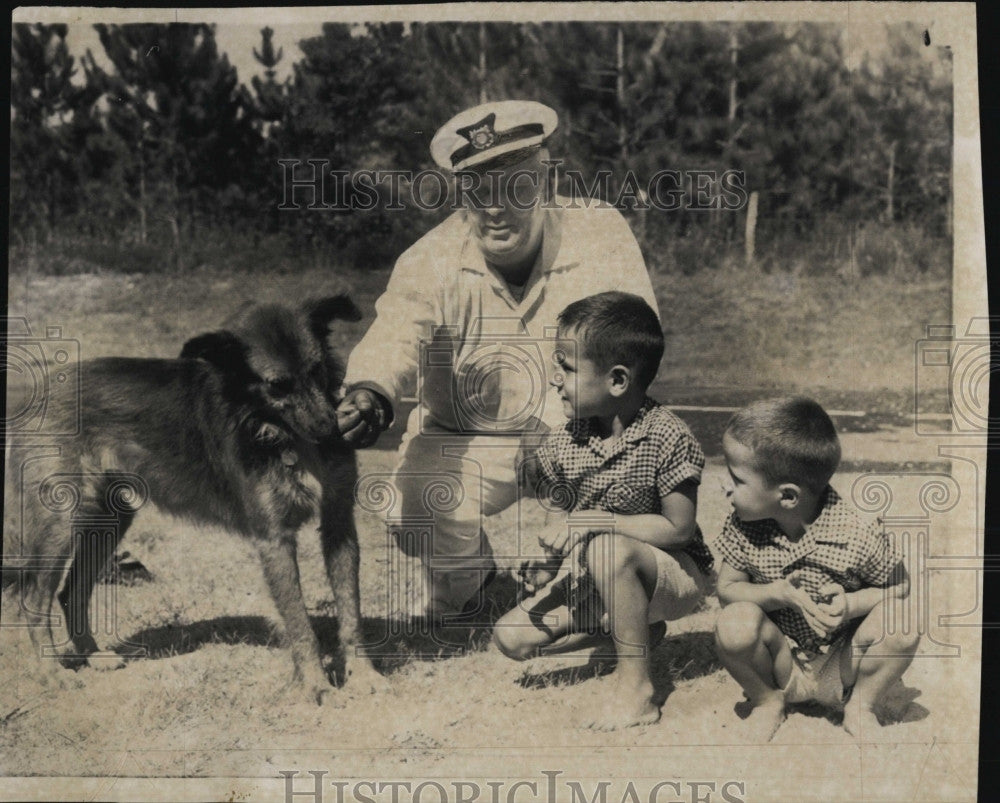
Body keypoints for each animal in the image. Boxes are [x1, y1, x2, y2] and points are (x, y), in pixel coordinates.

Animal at [2, 296, 382, 704]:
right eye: (277, 386)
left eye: (317, 370)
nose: (331, 430)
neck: (279, 432)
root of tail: (40, 389)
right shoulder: (274, 539)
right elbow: (300, 625)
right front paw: (316, 684)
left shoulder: (339, 525)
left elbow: (351, 614)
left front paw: (363, 675)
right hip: (61, 525)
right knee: (32, 600)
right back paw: (49, 672)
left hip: (108, 521)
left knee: (71, 592)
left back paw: (92, 655)